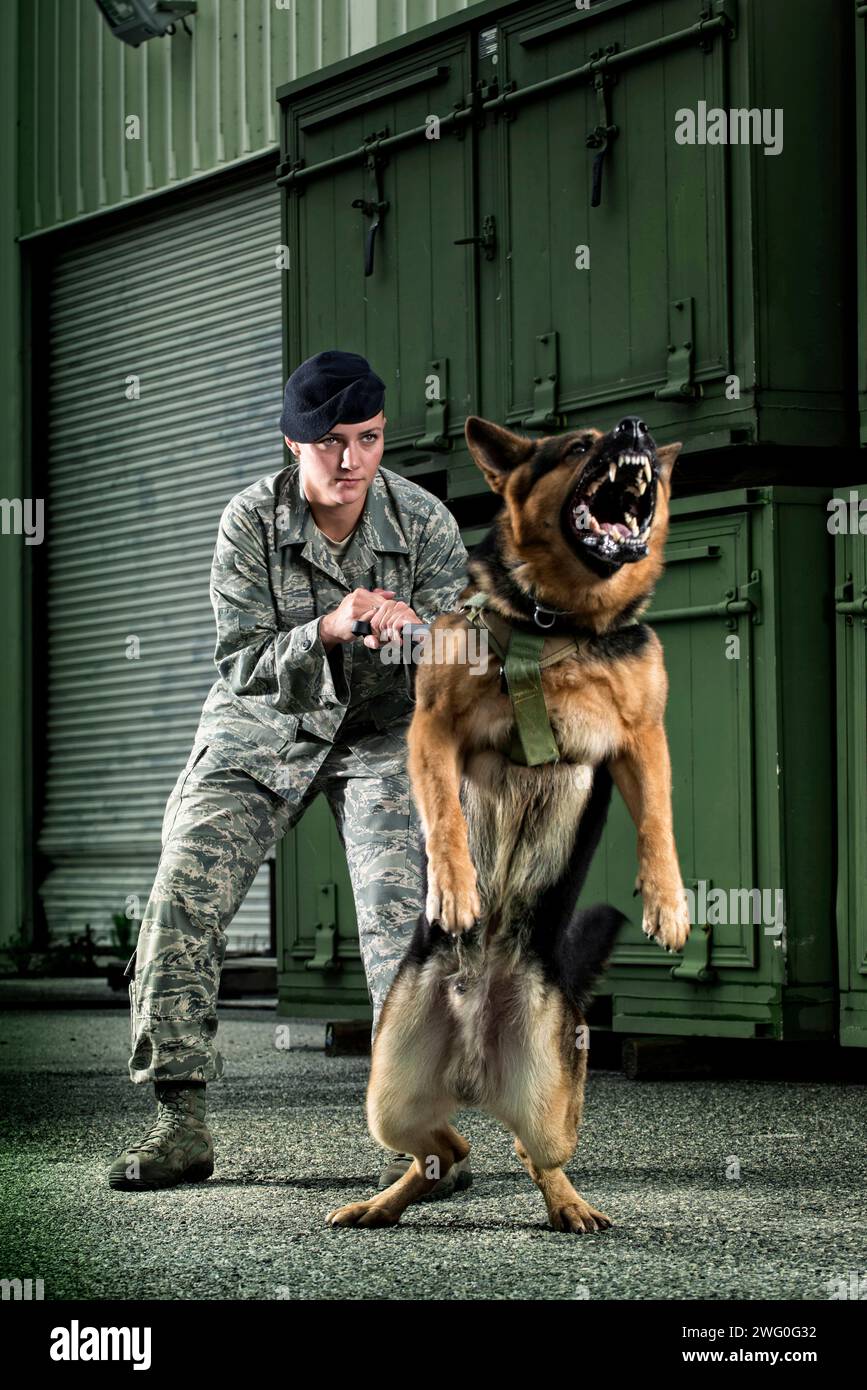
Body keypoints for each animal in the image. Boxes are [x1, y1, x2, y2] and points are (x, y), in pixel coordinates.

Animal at [325, 414, 691, 1239]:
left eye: (622, 440)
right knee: (445, 1149)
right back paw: (382, 1203)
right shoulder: (432, 727)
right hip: (387, 1097)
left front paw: (668, 903)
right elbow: (445, 819)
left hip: (549, 1100)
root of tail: (473, 1060)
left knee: (533, 1152)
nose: (634, 427)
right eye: (578, 445)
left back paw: (567, 1203)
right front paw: (457, 891)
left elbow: (657, 821)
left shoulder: (641, 741)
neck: (554, 620)